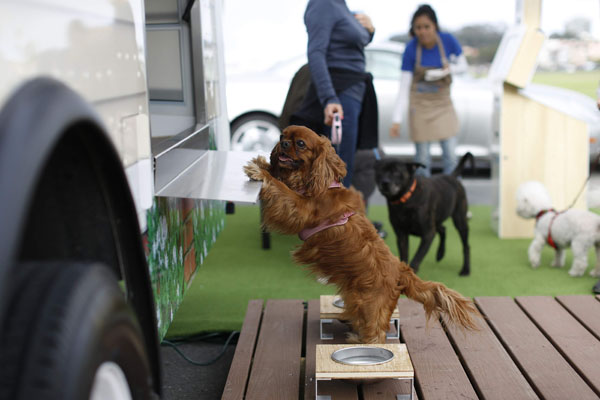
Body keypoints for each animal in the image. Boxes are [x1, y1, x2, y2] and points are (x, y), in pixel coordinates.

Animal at [244, 126, 478, 344]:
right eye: (282, 136)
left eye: (300, 143)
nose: (282, 144)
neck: (316, 183)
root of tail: (403, 271)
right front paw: (263, 164)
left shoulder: (300, 209)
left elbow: (281, 189)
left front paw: (260, 172)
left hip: (371, 305)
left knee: (378, 334)